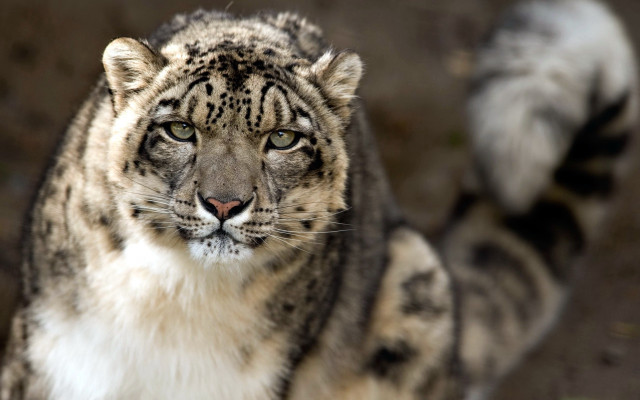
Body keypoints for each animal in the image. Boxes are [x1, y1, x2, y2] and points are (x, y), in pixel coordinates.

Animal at [1, 0, 637, 399]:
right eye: (180, 130)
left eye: (283, 138)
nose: (224, 204)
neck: (173, 300)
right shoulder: (45, 359)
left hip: (416, 289)